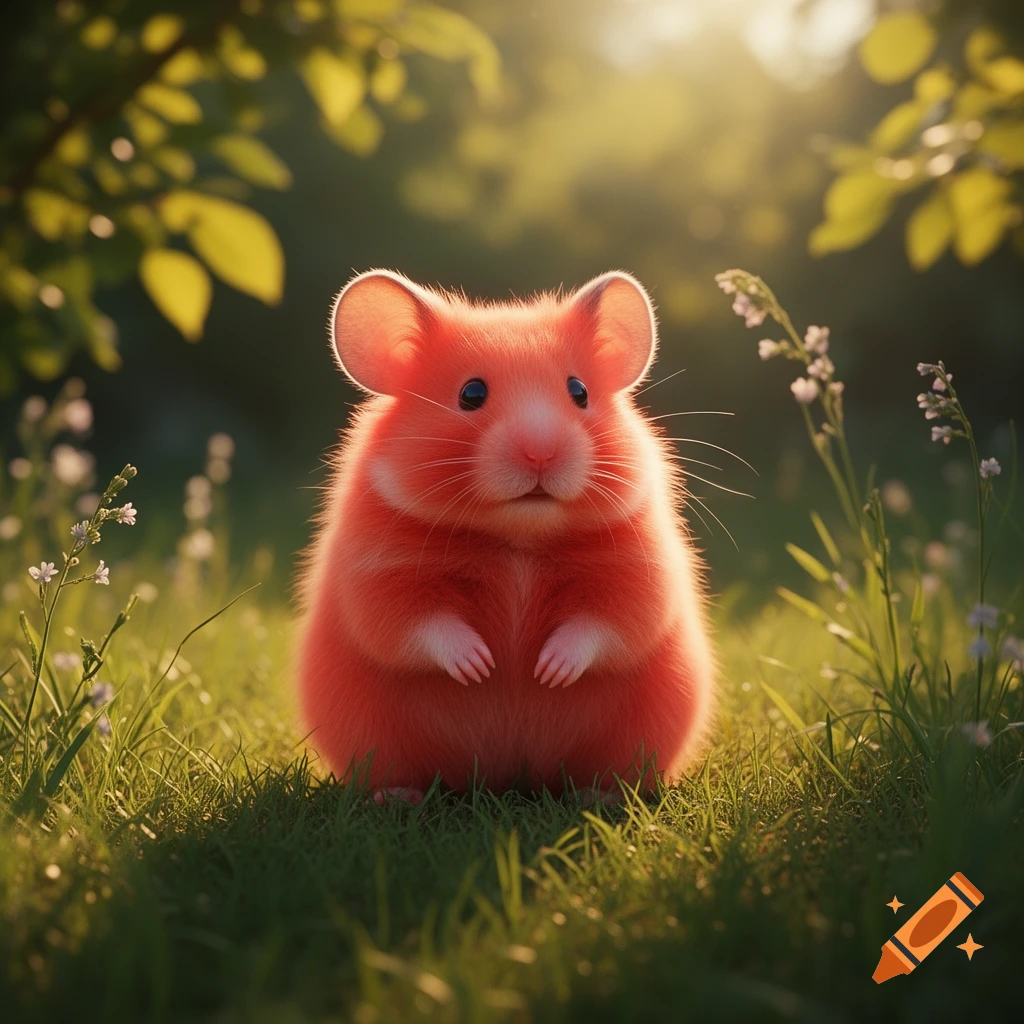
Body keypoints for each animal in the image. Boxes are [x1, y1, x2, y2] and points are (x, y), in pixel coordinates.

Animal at [296, 269, 715, 803]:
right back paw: (398, 798)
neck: (519, 540)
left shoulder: (639, 574)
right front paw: (480, 667)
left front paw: (548, 672)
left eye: (579, 391)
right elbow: (421, 625)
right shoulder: (376, 577)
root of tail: (505, 780)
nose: (540, 454)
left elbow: (604, 624)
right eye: (471, 394)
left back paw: (600, 797)